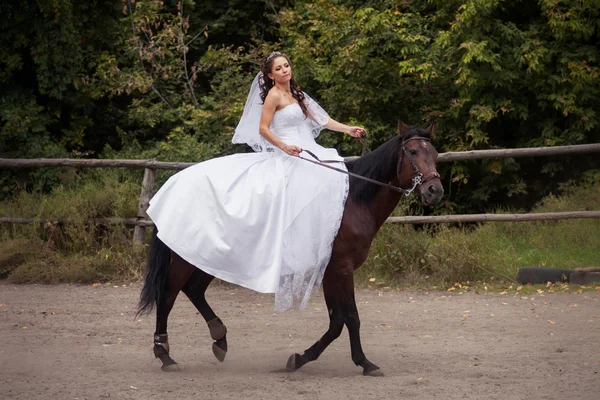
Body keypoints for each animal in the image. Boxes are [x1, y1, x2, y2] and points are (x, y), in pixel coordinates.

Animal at [138, 121, 442, 376]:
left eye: (435, 153)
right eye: (413, 151)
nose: (435, 191)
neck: (353, 200)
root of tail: (173, 183)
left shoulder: (329, 270)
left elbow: (336, 322)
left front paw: (300, 359)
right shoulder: (341, 268)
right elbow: (351, 318)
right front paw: (364, 363)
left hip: (210, 257)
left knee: (194, 290)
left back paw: (219, 340)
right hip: (183, 259)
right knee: (167, 297)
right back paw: (165, 356)